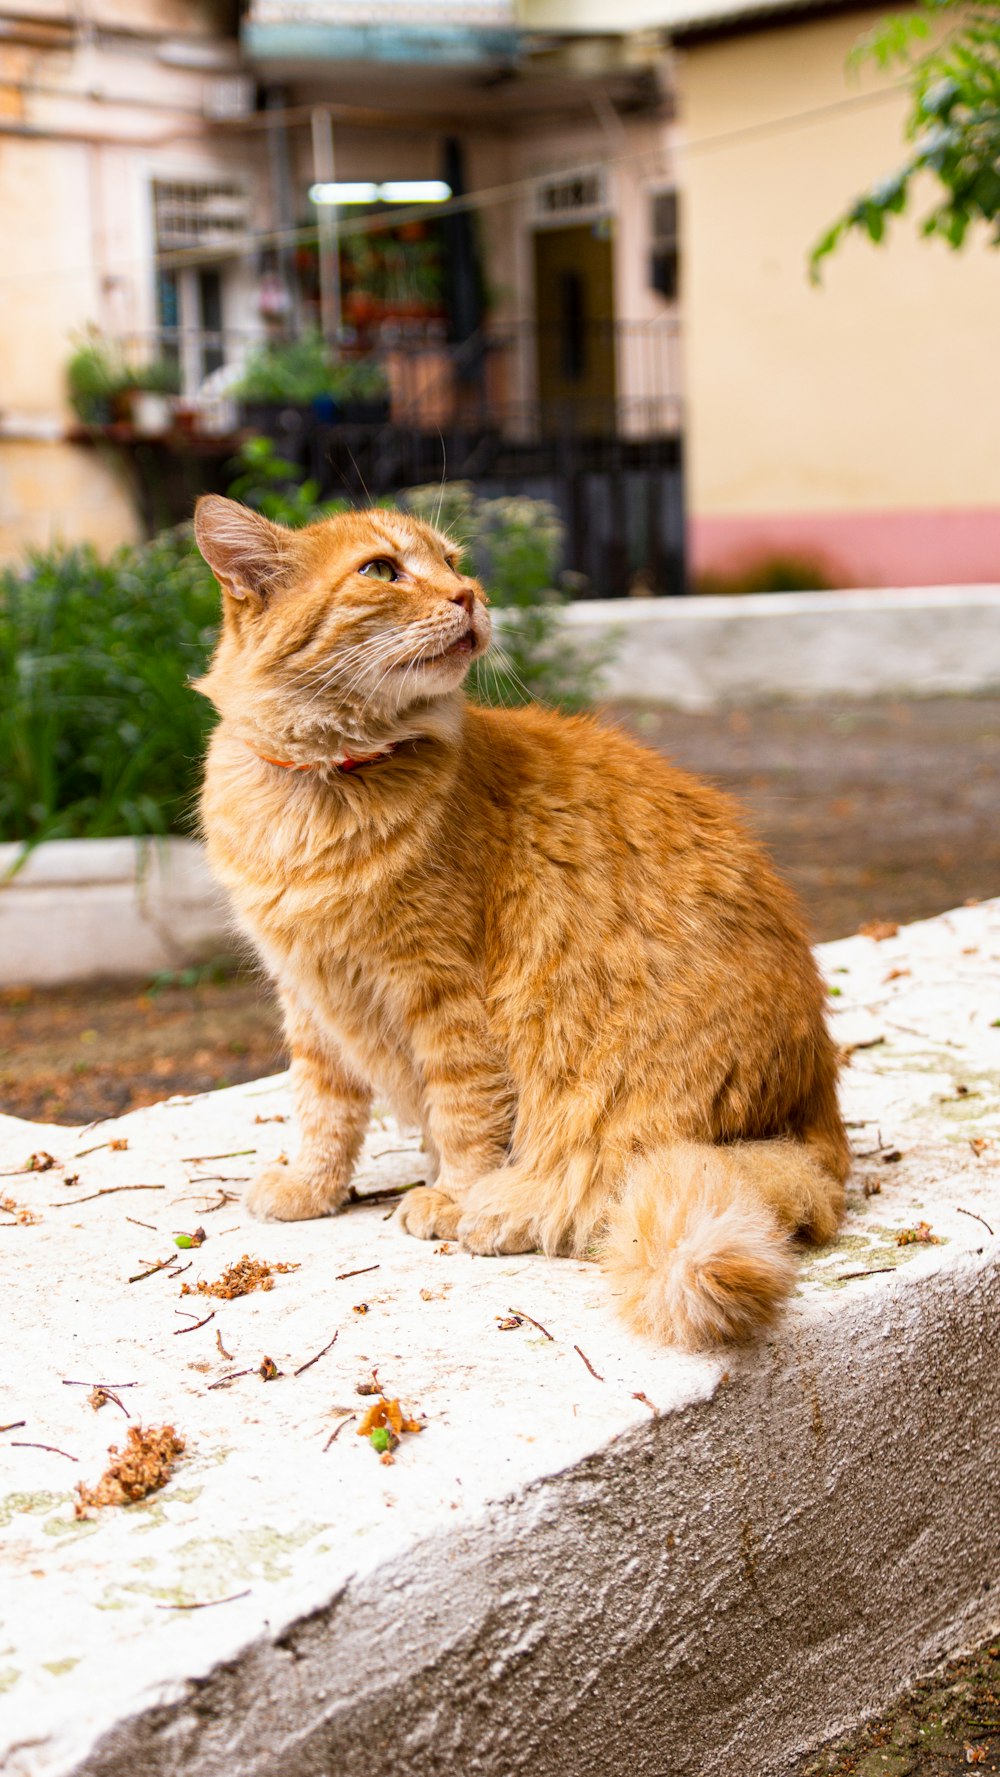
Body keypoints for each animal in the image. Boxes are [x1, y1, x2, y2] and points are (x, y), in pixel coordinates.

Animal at [191, 497, 849, 1343]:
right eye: (382, 570)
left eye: (451, 561)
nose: (468, 595)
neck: (326, 786)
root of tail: (819, 1114)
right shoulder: (309, 995)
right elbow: (324, 1111)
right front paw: (312, 1185)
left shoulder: (445, 993)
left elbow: (464, 1112)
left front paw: (451, 1193)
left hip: (608, 1088)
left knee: (597, 1189)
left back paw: (498, 1210)